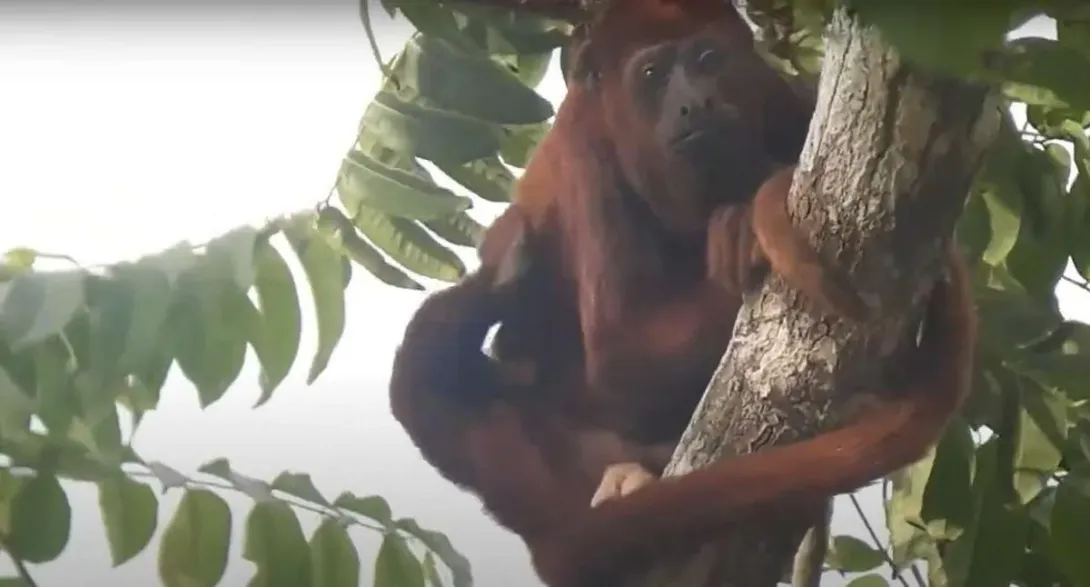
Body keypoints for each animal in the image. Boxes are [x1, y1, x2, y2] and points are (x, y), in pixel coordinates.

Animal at [392, 1, 981, 587]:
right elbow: (623, 360)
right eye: (653, 75)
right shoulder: (586, 153)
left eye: (706, 59)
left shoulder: (782, 94)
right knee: (427, 370)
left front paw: (742, 226)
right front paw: (741, 235)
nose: (694, 103)